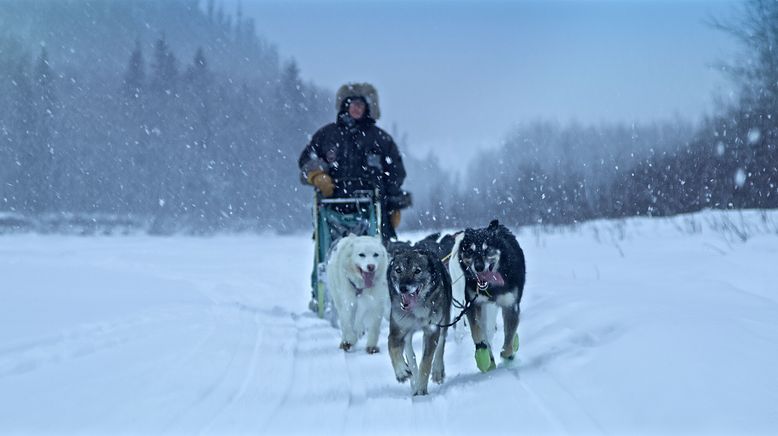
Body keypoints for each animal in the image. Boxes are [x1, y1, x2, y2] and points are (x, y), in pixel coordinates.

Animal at [386, 247, 452, 396]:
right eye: (398, 270)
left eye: (417, 271)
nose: (403, 287)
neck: (415, 311)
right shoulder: (397, 331)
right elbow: (392, 347)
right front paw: (401, 371)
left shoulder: (432, 330)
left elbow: (426, 362)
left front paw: (421, 389)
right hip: (407, 335)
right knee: (411, 356)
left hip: (444, 319)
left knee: (441, 343)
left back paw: (437, 371)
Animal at [452, 220, 524, 372]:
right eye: (470, 251)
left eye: (487, 249)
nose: (478, 267)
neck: (492, 287)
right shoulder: (473, 304)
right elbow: (477, 332)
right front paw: (482, 354)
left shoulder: (510, 305)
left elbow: (509, 337)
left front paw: (507, 354)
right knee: (486, 331)